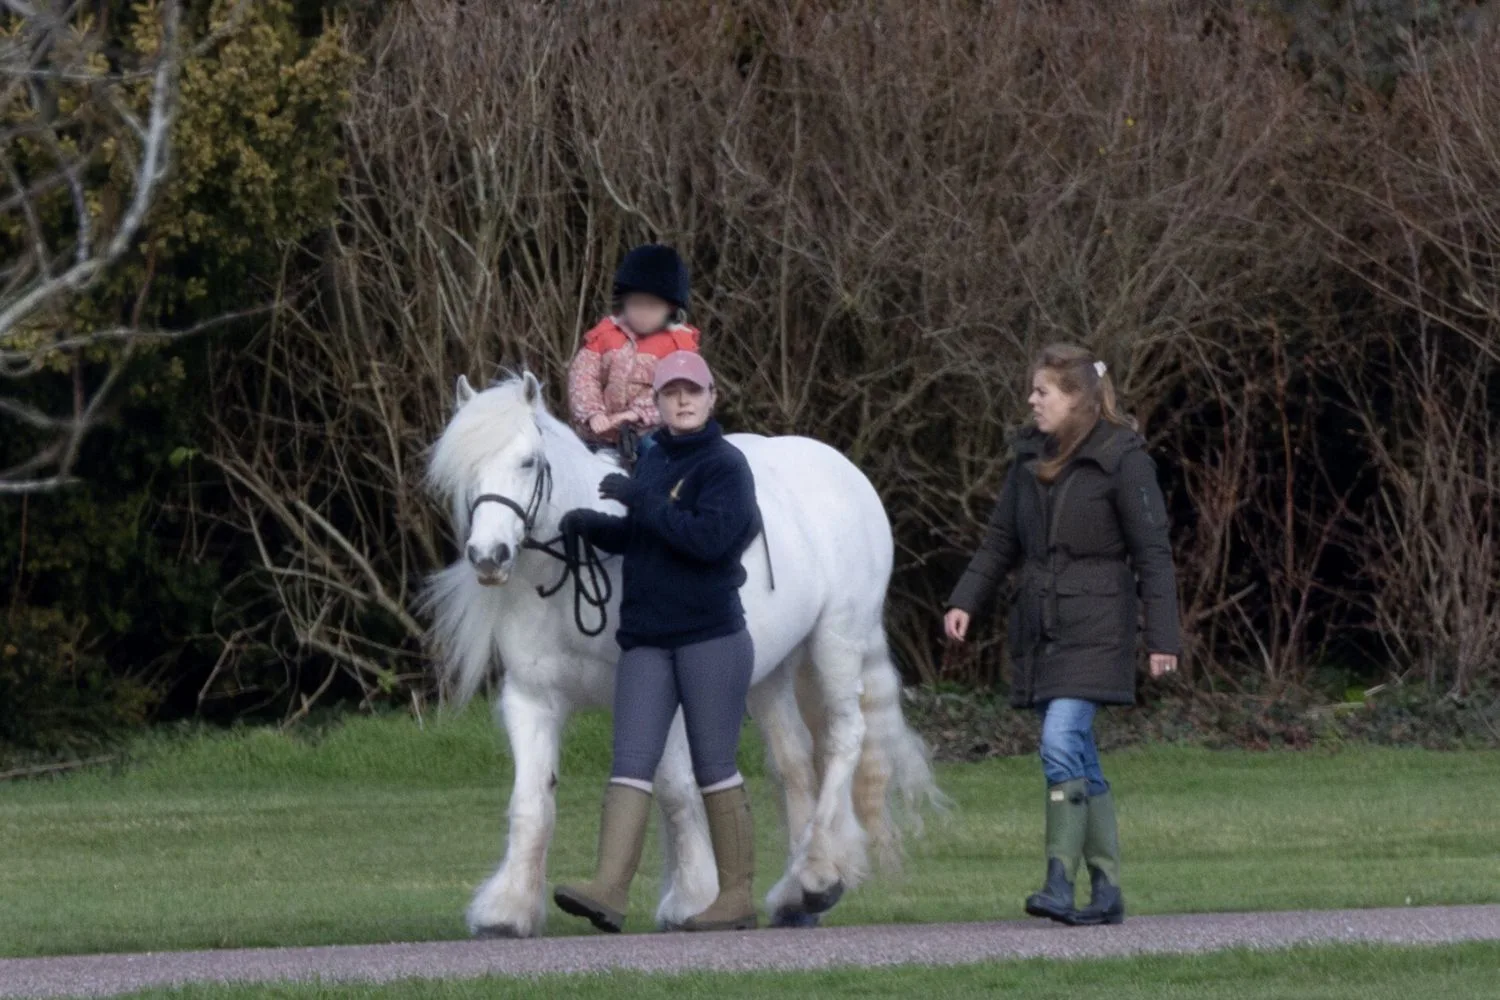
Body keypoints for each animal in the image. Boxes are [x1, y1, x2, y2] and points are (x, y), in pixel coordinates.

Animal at [421, 371, 944, 937]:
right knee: (795, 763)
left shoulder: (660, 691)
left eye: (529, 462)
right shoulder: (532, 699)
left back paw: (815, 872)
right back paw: (799, 894)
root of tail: (845, 470)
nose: (488, 556)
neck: (575, 572)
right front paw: (509, 908)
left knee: (844, 739)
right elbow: (531, 801)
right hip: (770, 675)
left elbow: (674, 788)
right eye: (464, 471)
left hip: (836, 642)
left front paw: (692, 897)